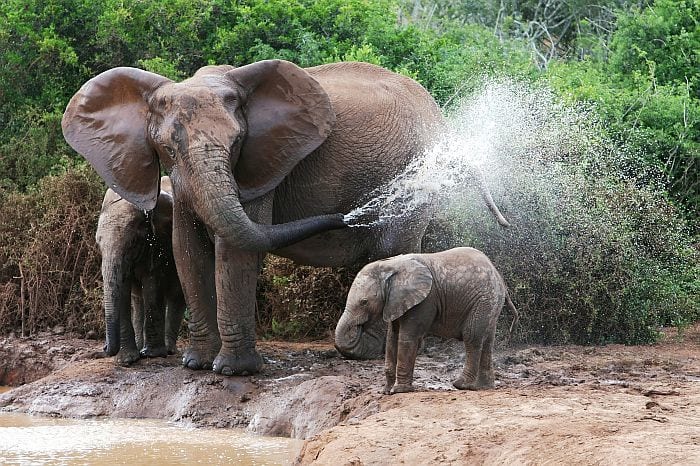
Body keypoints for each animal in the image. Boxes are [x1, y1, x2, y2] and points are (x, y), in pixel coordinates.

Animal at [96, 176, 185, 366]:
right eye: (98, 244)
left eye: (132, 242)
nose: (105, 348)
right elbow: (123, 289)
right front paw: (127, 360)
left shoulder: (158, 242)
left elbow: (152, 282)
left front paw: (152, 355)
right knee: (138, 300)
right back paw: (140, 348)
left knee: (176, 296)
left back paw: (167, 350)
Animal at [334, 247, 517, 394]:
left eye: (364, 302)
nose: (359, 327)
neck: (391, 265)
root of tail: (498, 276)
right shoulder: (396, 302)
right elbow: (392, 338)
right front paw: (385, 391)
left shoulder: (424, 301)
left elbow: (407, 338)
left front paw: (399, 391)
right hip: (490, 303)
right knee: (487, 340)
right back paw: (483, 387)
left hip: (483, 300)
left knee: (472, 336)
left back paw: (461, 385)